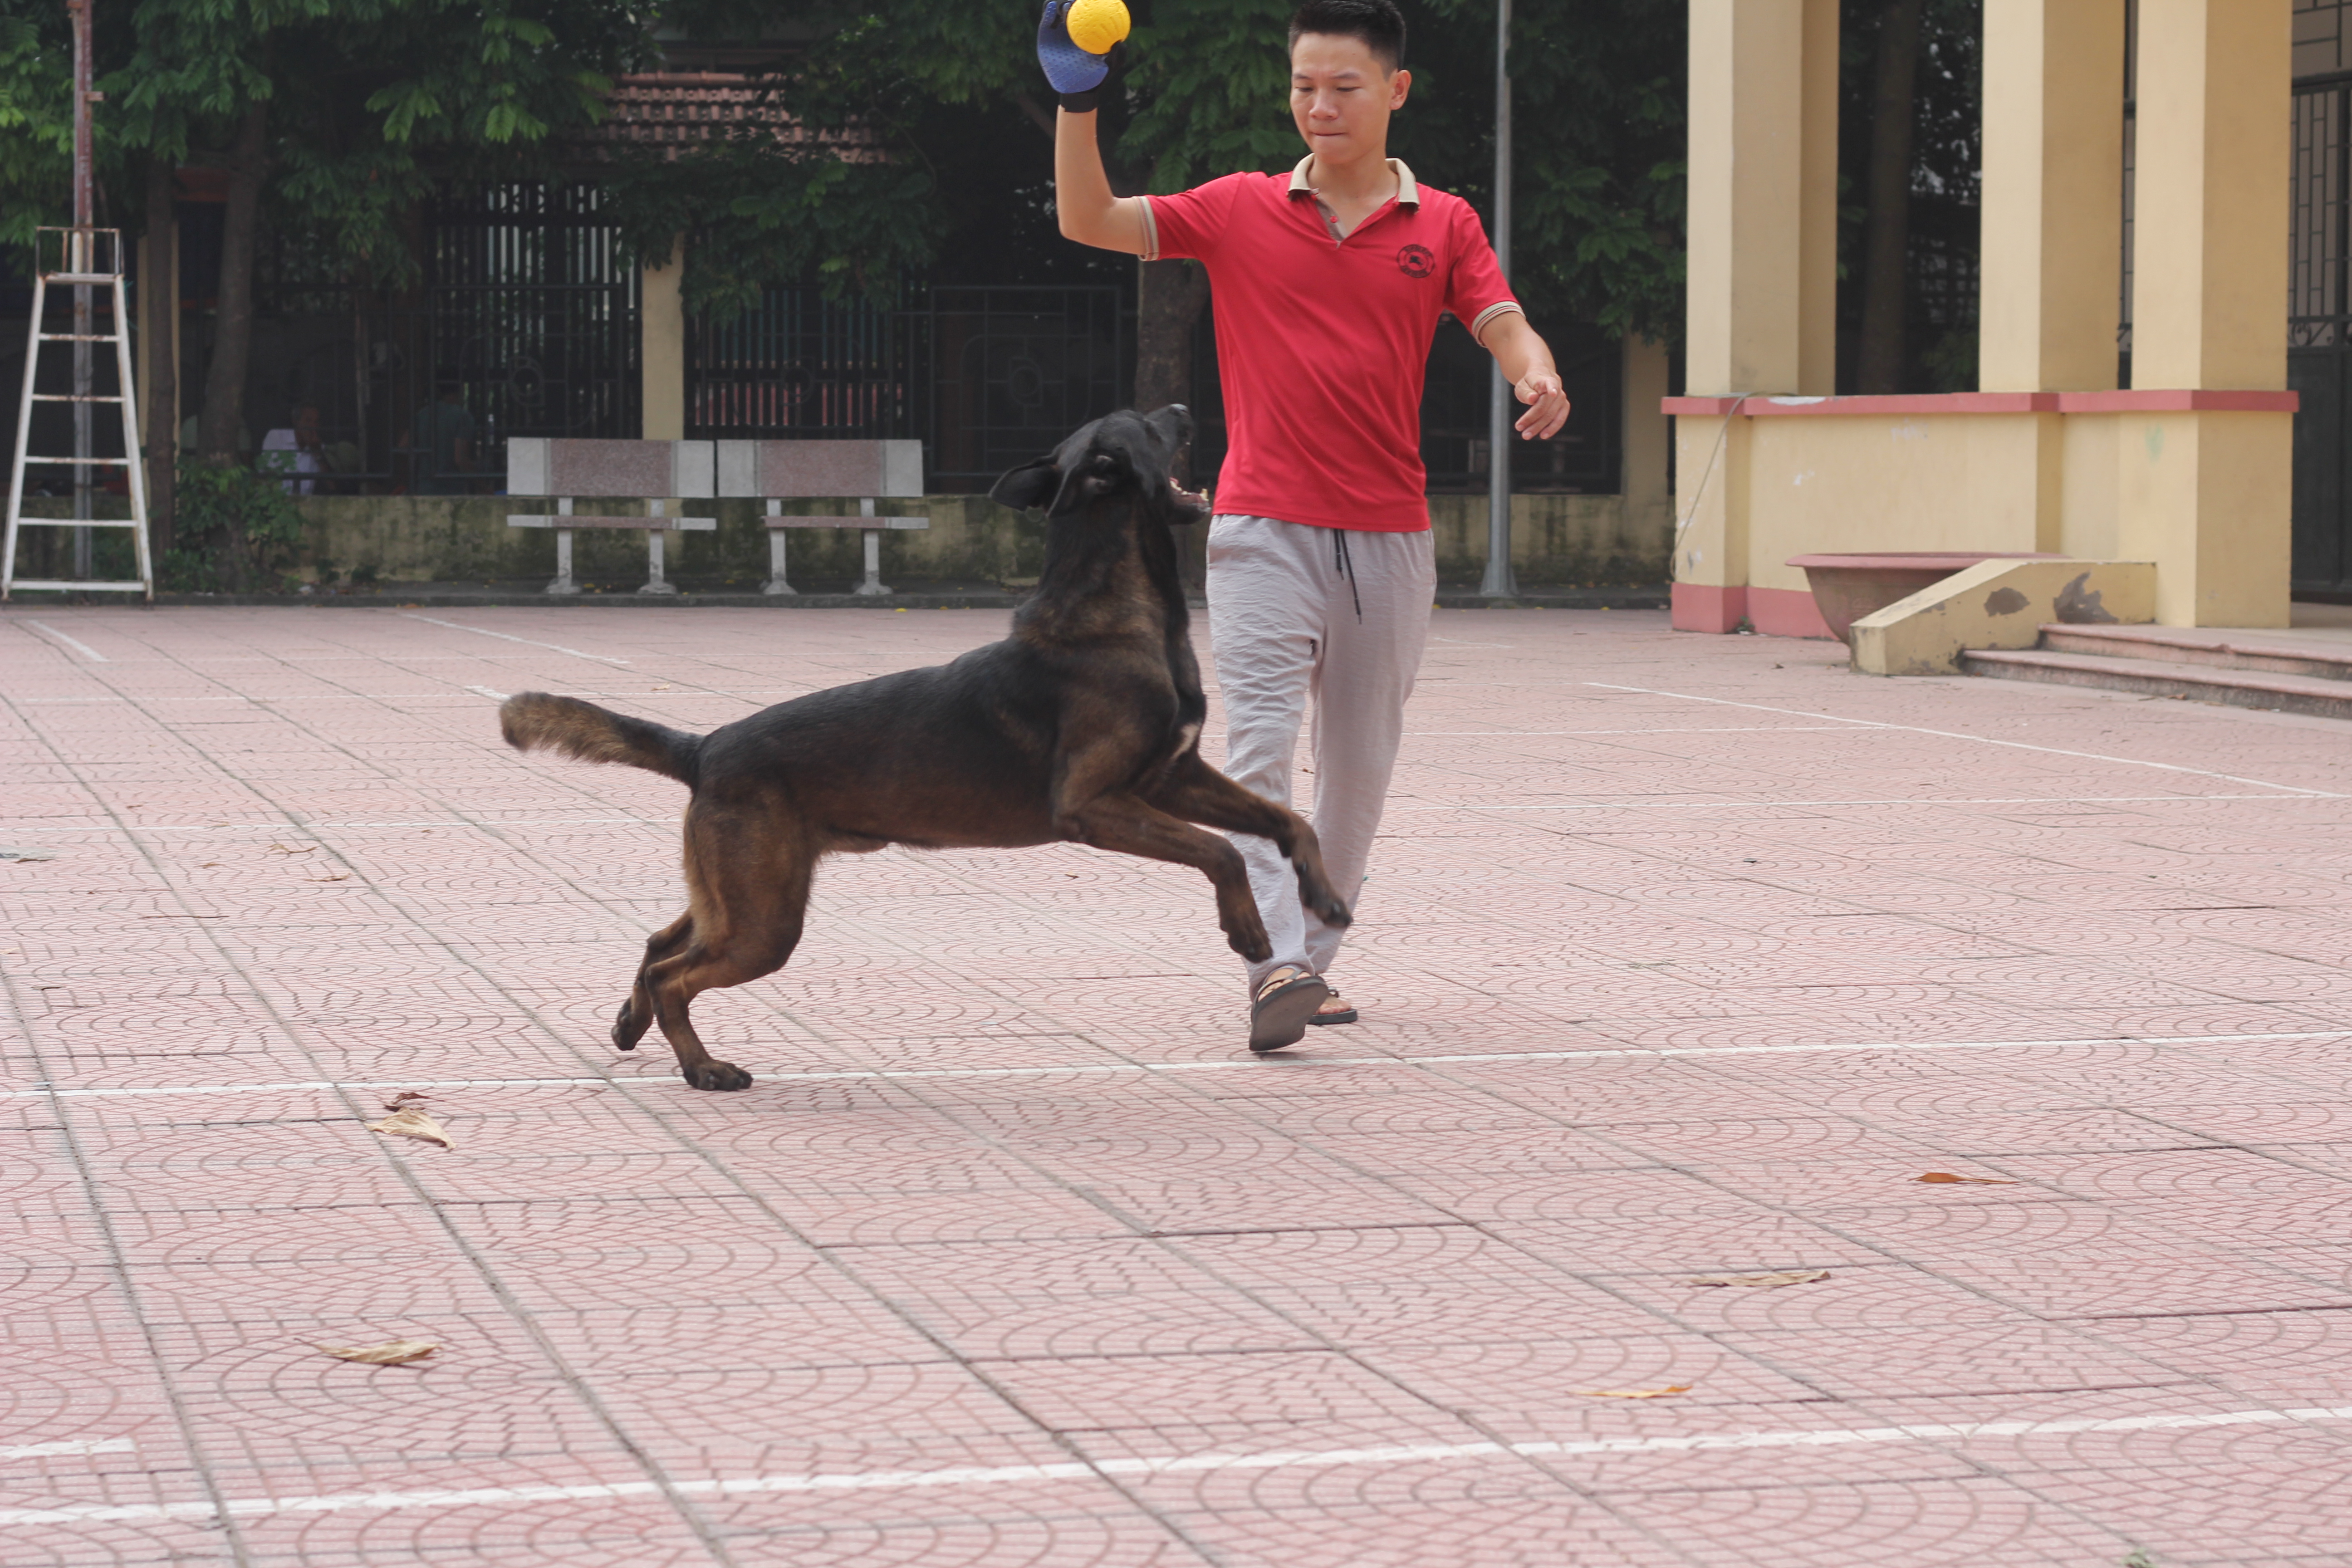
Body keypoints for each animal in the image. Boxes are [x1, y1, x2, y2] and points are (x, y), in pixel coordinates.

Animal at [496, 404, 1345, 1091]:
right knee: (676, 973)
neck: (1117, 611)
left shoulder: (1174, 779)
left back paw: (633, 1023)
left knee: (659, 944)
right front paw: (1247, 927)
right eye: (1143, 422)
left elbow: (1284, 820)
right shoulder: (1096, 807)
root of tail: (705, 747)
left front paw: (1325, 895)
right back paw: (702, 1066)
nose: (1183, 405)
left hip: (743, 895)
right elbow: (1223, 851)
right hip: (765, 922)